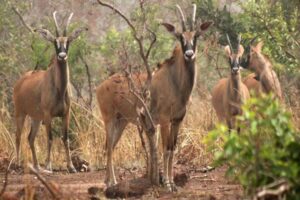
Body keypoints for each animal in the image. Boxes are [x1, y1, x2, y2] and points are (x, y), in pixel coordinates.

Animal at [13, 11, 88, 173]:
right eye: (55, 42)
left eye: (68, 42)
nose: (62, 56)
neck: (60, 89)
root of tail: (20, 81)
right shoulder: (48, 115)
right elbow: (50, 138)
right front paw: (48, 165)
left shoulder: (66, 114)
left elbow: (65, 138)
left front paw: (71, 167)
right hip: (20, 113)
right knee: (18, 136)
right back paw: (17, 164)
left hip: (35, 118)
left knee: (30, 138)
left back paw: (36, 166)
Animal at [96, 3, 213, 190]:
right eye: (180, 37)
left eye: (196, 36)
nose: (189, 54)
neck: (175, 81)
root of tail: (100, 86)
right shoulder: (165, 120)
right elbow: (165, 149)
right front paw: (167, 184)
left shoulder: (177, 120)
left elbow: (173, 149)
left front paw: (173, 183)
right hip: (109, 119)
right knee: (109, 148)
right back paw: (112, 182)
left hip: (122, 122)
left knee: (110, 146)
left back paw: (108, 181)